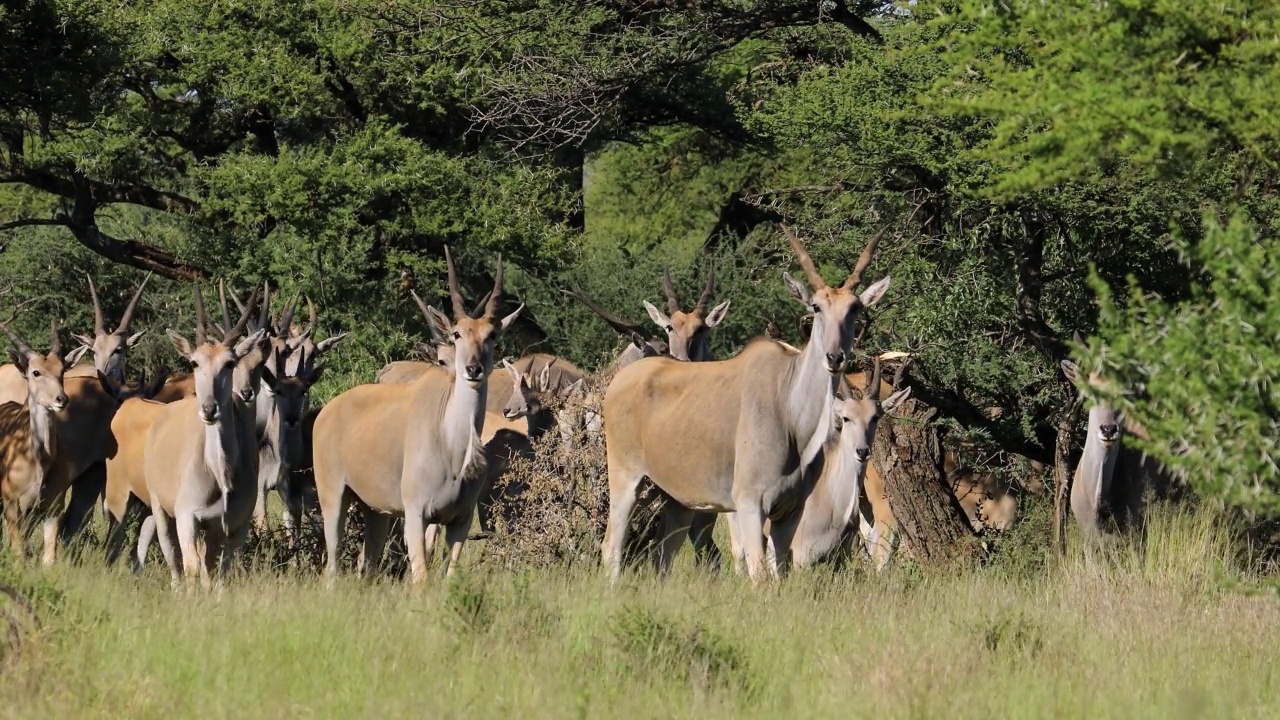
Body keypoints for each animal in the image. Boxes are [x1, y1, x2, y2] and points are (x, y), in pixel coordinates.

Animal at [144, 283, 266, 586]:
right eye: (195, 363)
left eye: (230, 363)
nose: (209, 409)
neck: (220, 475)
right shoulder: (187, 516)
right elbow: (191, 569)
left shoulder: (228, 524)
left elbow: (218, 572)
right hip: (160, 508)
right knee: (174, 564)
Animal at [312, 245, 522, 584]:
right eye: (457, 334)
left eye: (492, 335)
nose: (473, 369)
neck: (453, 446)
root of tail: (327, 411)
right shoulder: (416, 514)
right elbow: (421, 578)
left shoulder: (460, 521)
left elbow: (450, 575)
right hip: (333, 496)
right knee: (332, 566)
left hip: (376, 511)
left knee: (367, 564)